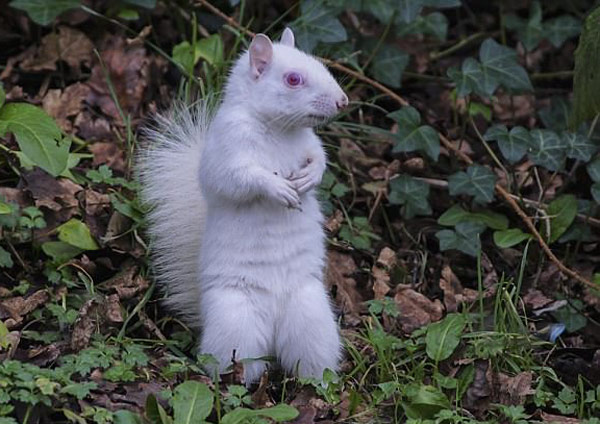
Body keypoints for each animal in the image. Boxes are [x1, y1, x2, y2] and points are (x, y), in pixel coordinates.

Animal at [139, 28, 350, 382]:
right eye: (293, 79)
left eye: (319, 63)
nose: (342, 101)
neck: (279, 129)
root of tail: (274, 330)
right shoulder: (227, 149)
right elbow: (238, 178)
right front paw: (278, 188)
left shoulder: (310, 144)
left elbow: (319, 159)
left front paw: (308, 178)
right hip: (236, 324)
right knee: (236, 363)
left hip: (311, 322)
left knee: (307, 362)